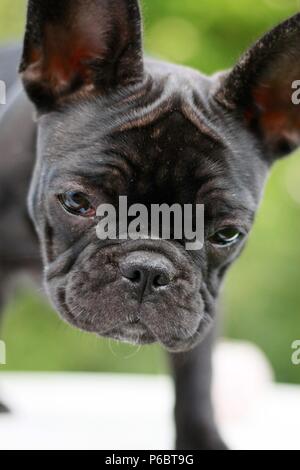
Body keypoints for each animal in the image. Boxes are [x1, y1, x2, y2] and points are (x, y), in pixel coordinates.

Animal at [0, 0, 300, 450]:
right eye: (77, 202)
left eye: (226, 234)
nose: (148, 270)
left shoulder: (205, 304)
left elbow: (197, 372)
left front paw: (201, 438)